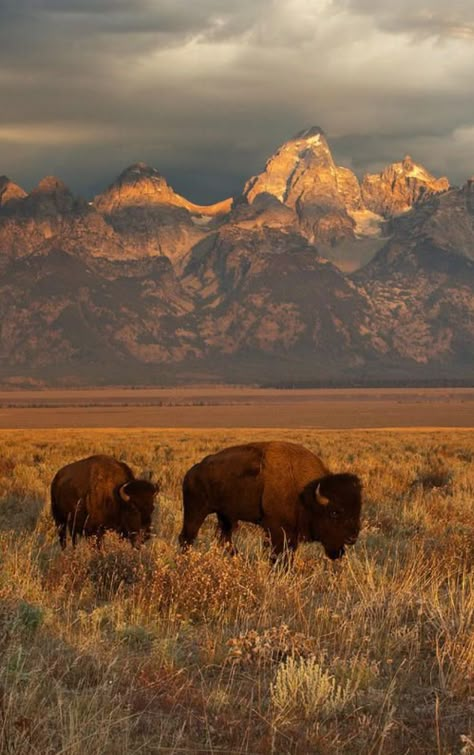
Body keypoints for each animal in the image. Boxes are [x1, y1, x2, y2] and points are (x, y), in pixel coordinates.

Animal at [180, 442, 362, 560]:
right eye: (334, 512)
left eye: (357, 510)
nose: (352, 537)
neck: (305, 494)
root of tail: (192, 472)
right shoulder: (276, 530)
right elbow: (279, 554)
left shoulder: (291, 533)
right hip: (195, 511)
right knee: (187, 537)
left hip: (225, 516)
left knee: (224, 538)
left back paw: (238, 559)